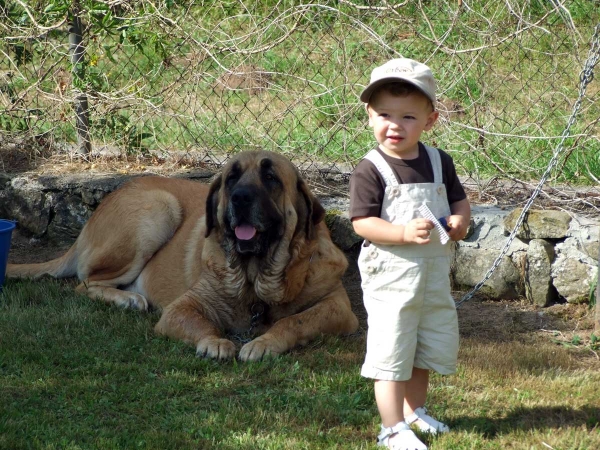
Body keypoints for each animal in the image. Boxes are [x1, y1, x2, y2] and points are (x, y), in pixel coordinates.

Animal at [7, 151, 358, 362]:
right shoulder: (182, 308)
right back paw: (127, 299)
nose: (240, 198)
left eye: (271, 178)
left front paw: (264, 342)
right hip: (158, 211)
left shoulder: (337, 306)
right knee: (85, 284)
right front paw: (215, 342)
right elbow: (197, 321)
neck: (255, 279)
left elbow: (295, 320)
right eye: (231, 178)